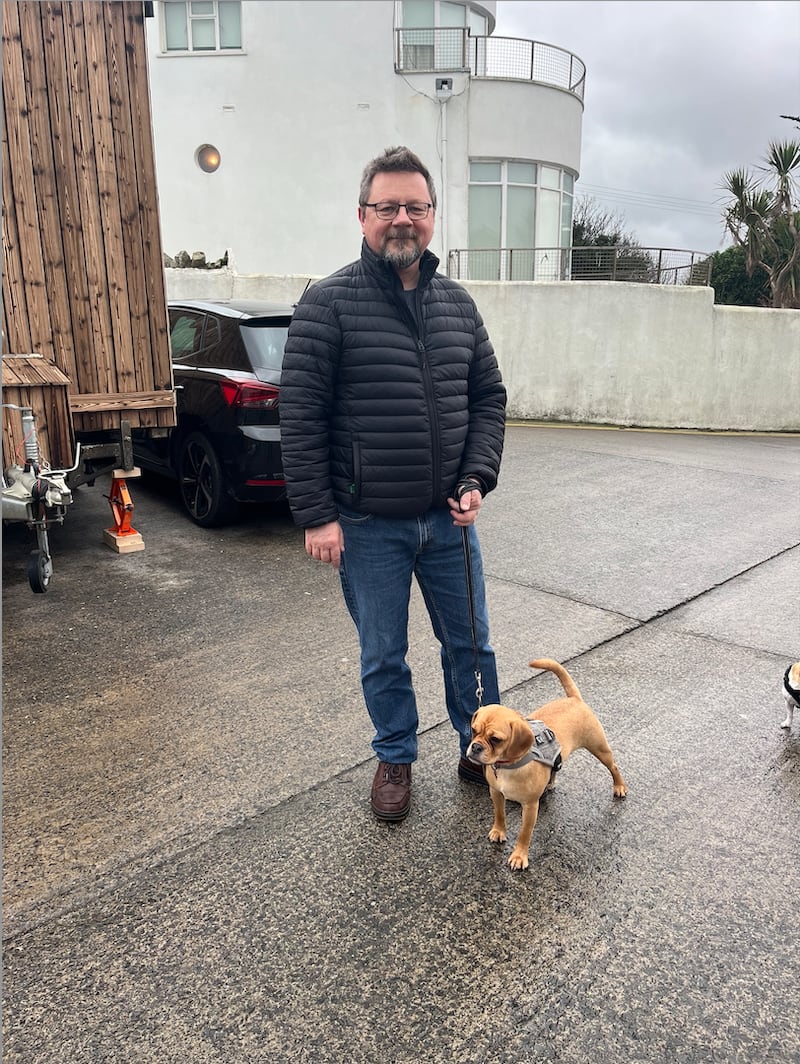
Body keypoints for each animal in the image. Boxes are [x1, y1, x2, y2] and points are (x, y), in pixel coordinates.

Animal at [465, 655, 629, 872]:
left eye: (495, 739)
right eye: (474, 730)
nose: (475, 747)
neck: (509, 764)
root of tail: (574, 699)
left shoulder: (530, 806)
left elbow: (524, 834)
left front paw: (519, 856)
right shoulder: (496, 793)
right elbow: (499, 815)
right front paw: (499, 831)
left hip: (600, 749)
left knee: (614, 767)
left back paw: (619, 786)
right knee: (556, 767)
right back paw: (550, 783)